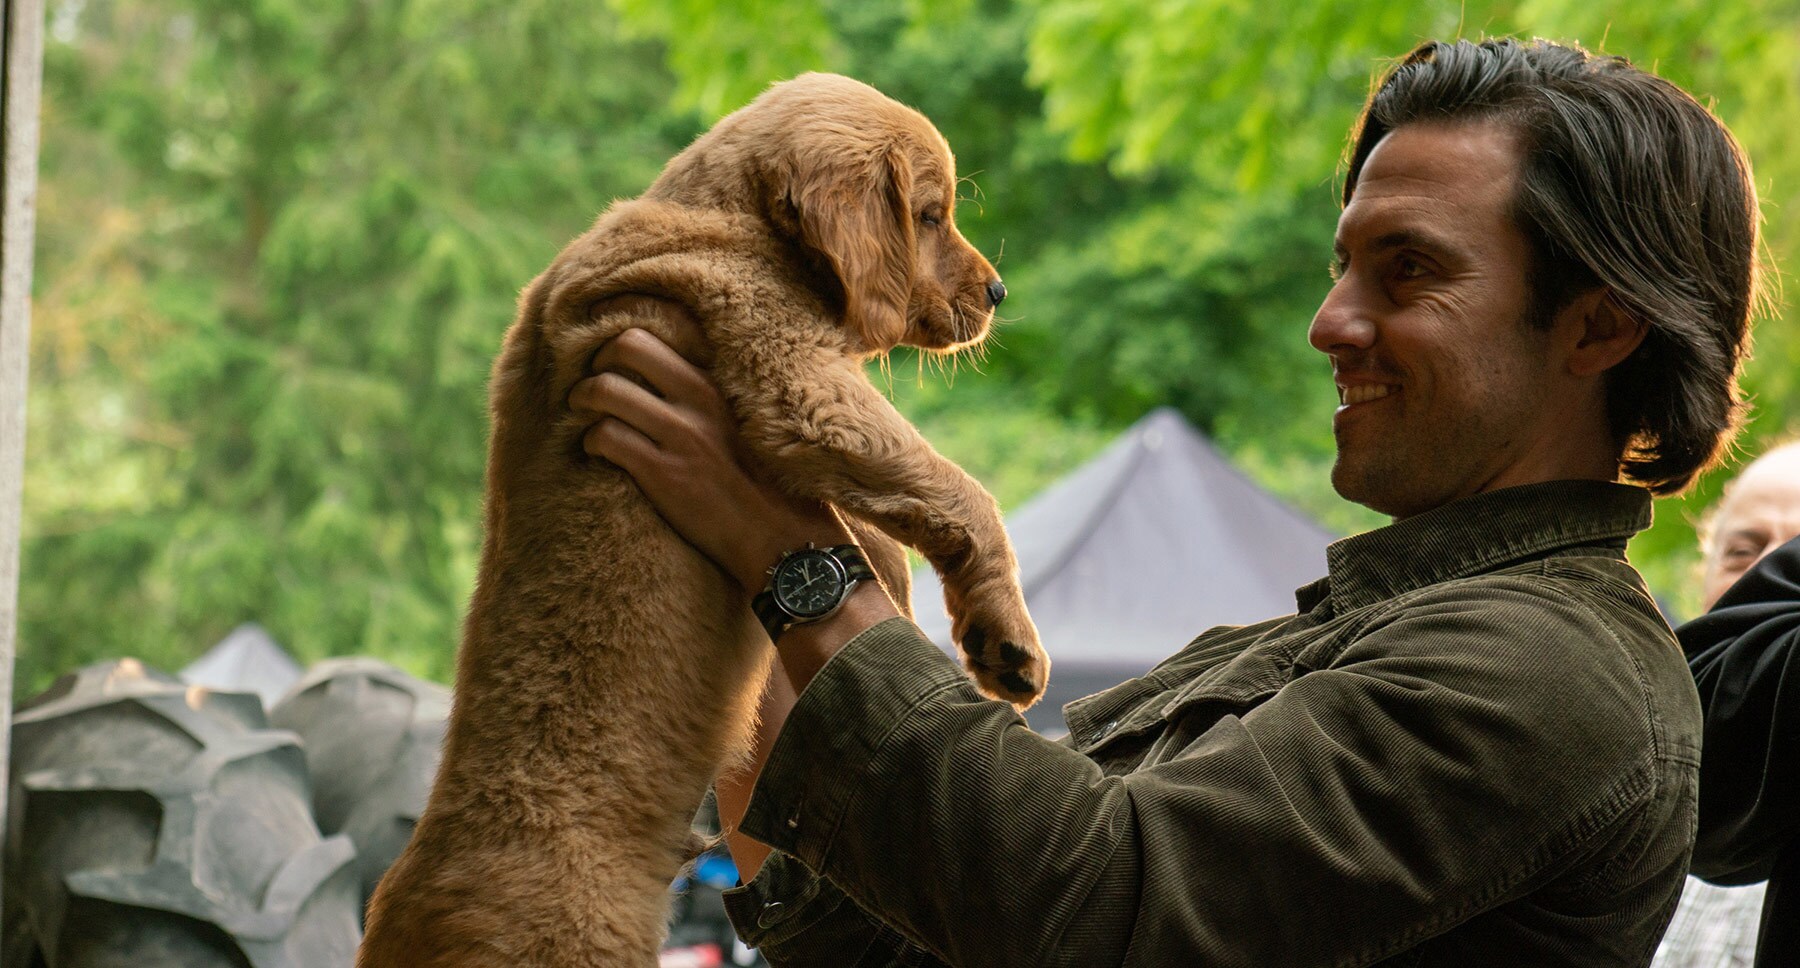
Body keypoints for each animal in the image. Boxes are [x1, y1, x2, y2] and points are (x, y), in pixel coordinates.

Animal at [352, 71, 1051, 957]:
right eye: (929, 215)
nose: (999, 293)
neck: (734, 222)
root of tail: (404, 897)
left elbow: (883, 528)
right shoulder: (796, 383)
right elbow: (959, 493)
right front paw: (1005, 638)